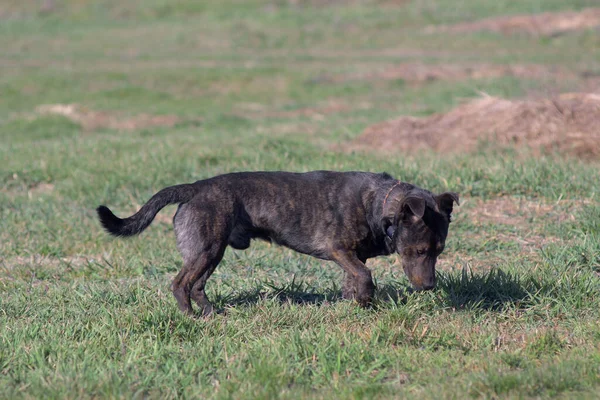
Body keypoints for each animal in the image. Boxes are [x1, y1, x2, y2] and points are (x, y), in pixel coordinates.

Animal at [97, 170, 460, 318]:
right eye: (419, 251)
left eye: (440, 251)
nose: (429, 287)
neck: (380, 207)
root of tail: (195, 187)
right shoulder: (339, 250)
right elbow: (364, 276)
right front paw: (366, 302)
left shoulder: (351, 257)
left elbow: (353, 279)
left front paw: (353, 304)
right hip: (206, 248)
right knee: (180, 284)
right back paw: (190, 317)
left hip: (212, 252)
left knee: (197, 285)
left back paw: (212, 313)